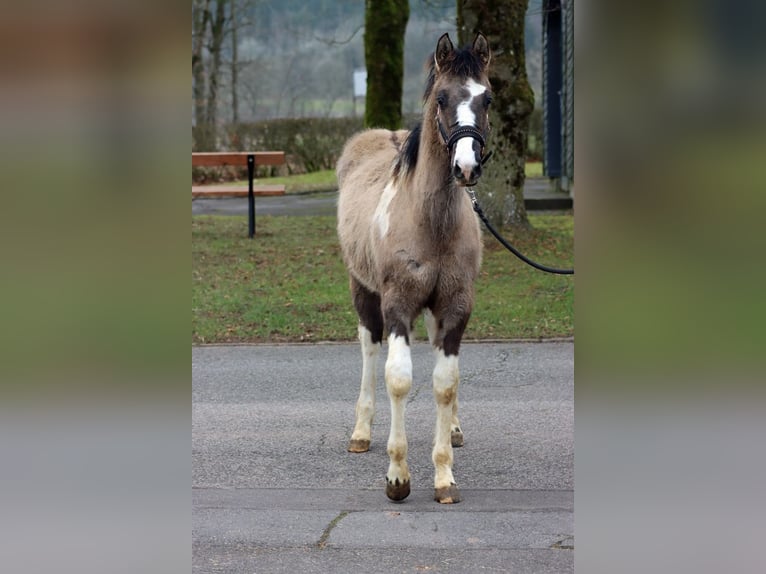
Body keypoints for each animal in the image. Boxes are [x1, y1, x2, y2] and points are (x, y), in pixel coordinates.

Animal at [336, 33, 492, 504]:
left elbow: (445, 381)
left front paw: (444, 476)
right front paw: (398, 477)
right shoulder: (398, 304)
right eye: (441, 97)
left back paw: (453, 429)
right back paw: (362, 431)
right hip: (363, 289)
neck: (430, 220)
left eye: (488, 98)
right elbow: (400, 379)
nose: (466, 167)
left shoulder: (455, 305)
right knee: (370, 348)